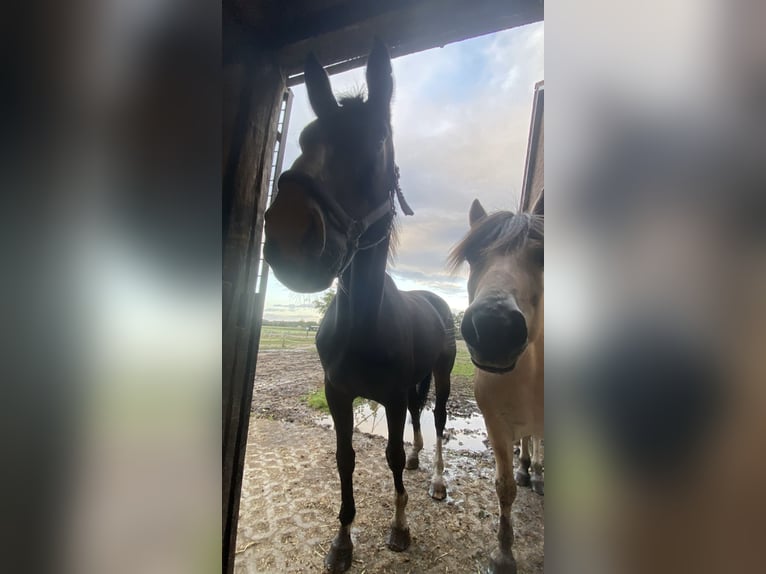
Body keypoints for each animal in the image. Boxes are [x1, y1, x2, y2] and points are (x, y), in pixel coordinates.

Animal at [263, 40, 456, 573]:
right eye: (304, 139)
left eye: (376, 141)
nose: (289, 233)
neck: (362, 325)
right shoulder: (338, 393)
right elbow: (346, 456)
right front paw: (343, 539)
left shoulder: (386, 396)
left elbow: (387, 454)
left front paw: (400, 526)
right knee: (419, 417)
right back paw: (418, 460)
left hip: (443, 373)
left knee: (437, 419)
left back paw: (435, 479)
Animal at [449, 195, 544, 574]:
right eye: (474, 256)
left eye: (543, 254)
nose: (493, 327)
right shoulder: (497, 426)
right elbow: (504, 488)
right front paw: (503, 555)